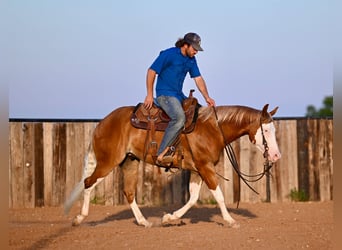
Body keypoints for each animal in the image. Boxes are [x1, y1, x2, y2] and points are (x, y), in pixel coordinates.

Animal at [63, 103, 280, 229]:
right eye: (266, 130)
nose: (276, 155)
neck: (212, 128)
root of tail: (102, 123)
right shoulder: (205, 167)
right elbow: (218, 195)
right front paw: (230, 220)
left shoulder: (197, 170)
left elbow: (192, 199)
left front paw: (169, 217)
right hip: (108, 162)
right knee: (88, 182)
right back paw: (79, 218)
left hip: (130, 162)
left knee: (129, 192)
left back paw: (143, 221)